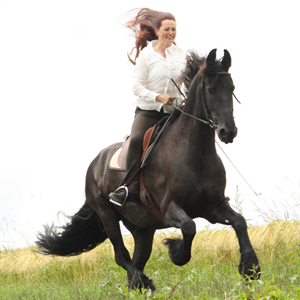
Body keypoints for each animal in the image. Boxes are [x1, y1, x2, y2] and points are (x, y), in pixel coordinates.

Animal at [35, 48, 260, 290]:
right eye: (210, 89)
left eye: (231, 88)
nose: (228, 132)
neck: (195, 153)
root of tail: (95, 163)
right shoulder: (169, 208)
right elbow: (189, 227)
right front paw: (175, 251)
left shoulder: (212, 206)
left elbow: (240, 222)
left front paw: (251, 269)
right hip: (106, 214)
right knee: (122, 256)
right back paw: (144, 281)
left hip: (142, 227)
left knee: (138, 258)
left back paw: (139, 284)